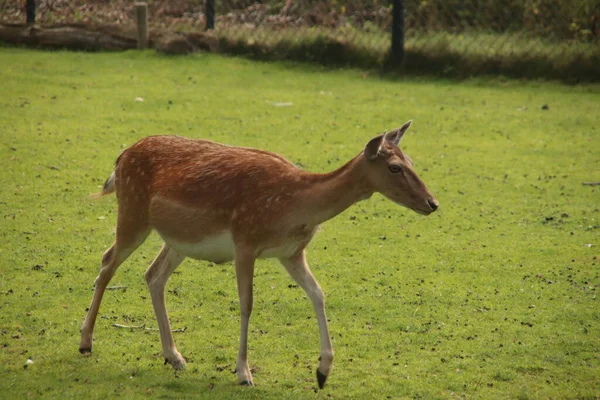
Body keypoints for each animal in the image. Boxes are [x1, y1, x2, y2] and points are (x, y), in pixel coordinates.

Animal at [78, 120, 436, 390]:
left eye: (412, 162)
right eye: (394, 167)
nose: (432, 203)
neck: (295, 207)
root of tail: (121, 157)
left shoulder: (292, 253)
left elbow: (319, 294)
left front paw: (322, 372)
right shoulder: (245, 242)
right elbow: (247, 304)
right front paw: (244, 373)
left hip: (178, 240)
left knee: (153, 276)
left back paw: (175, 357)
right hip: (133, 212)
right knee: (107, 262)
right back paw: (86, 342)